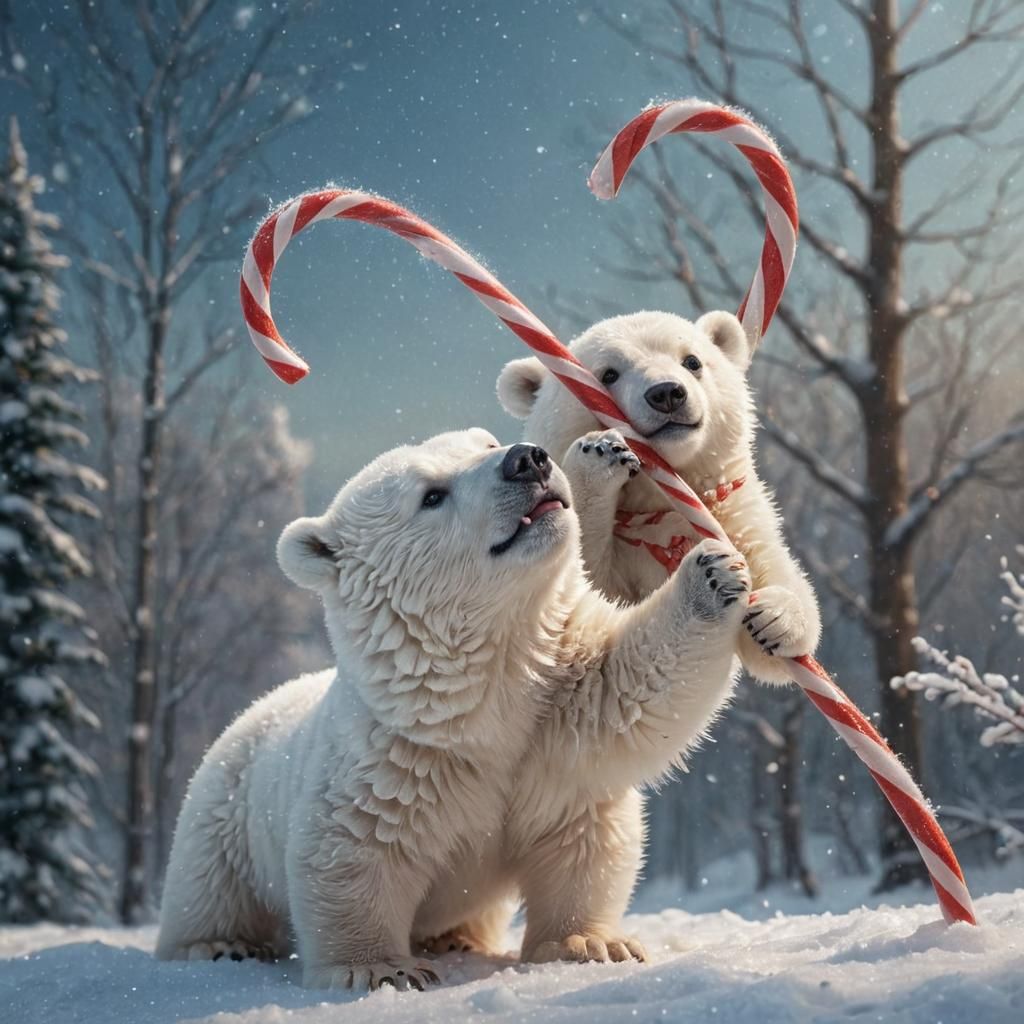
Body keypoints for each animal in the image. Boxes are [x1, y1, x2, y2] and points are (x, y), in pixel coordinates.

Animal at [155, 428, 751, 990]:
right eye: (432, 495)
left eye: (484, 442)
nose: (526, 458)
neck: (474, 705)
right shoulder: (390, 764)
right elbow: (352, 854)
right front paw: (381, 970)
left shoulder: (558, 713)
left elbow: (632, 695)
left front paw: (590, 943)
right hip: (223, 808)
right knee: (206, 886)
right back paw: (219, 945)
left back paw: (456, 939)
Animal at [497, 309, 821, 684]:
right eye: (608, 374)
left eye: (692, 360)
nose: (666, 393)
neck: (657, 501)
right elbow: (591, 599)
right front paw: (598, 455)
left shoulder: (732, 512)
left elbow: (766, 574)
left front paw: (775, 617)